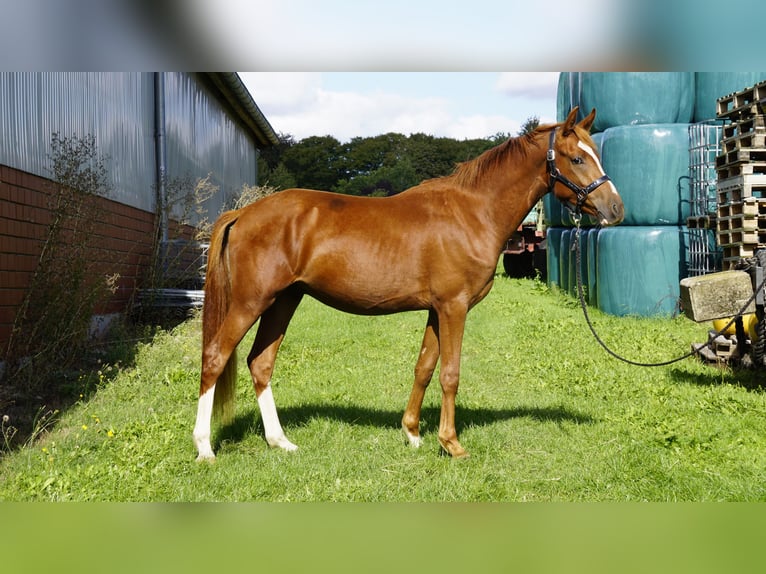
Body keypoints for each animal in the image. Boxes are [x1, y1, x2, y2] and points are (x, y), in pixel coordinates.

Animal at [193, 106, 624, 461]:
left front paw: (413, 434)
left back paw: (280, 441)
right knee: (215, 357)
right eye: (577, 158)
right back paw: (205, 448)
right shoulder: (453, 307)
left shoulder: (436, 309)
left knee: (260, 362)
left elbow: (424, 367)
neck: (472, 212)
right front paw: (451, 444)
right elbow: (450, 373)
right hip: (251, 301)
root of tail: (243, 212)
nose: (616, 209)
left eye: (595, 154)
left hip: (284, 300)